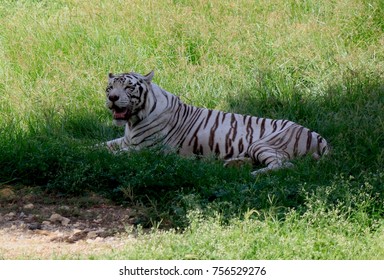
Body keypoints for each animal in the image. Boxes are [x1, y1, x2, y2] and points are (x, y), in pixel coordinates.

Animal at [103, 70, 328, 175]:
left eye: (129, 87)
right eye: (110, 87)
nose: (112, 98)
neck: (133, 121)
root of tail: (319, 136)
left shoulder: (146, 149)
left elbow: (114, 154)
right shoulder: (126, 141)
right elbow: (101, 146)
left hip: (263, 144)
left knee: (285, 164)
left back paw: (254, 174)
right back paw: (233, 164)